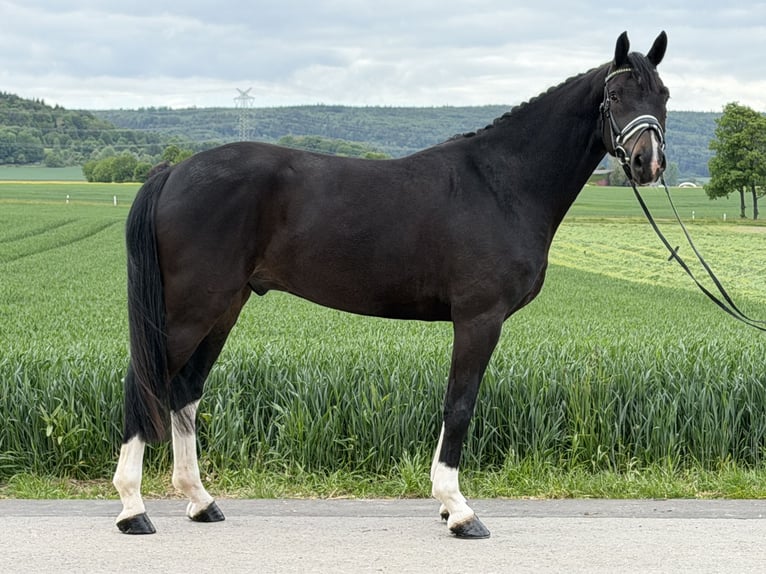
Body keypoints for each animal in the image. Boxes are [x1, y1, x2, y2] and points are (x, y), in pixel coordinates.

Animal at [113, 31, 669, 539]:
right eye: (616, 95)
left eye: (663, 94)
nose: (649, 162)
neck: (501, 183)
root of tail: (174, 170)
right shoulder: (479, 319)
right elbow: (459, 405)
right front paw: (459, 511)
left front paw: (447, 505)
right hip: (190, 308)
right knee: (143, 383)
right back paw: (133, 510)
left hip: (225, 305)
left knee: (185, 390)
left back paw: (200, 501)